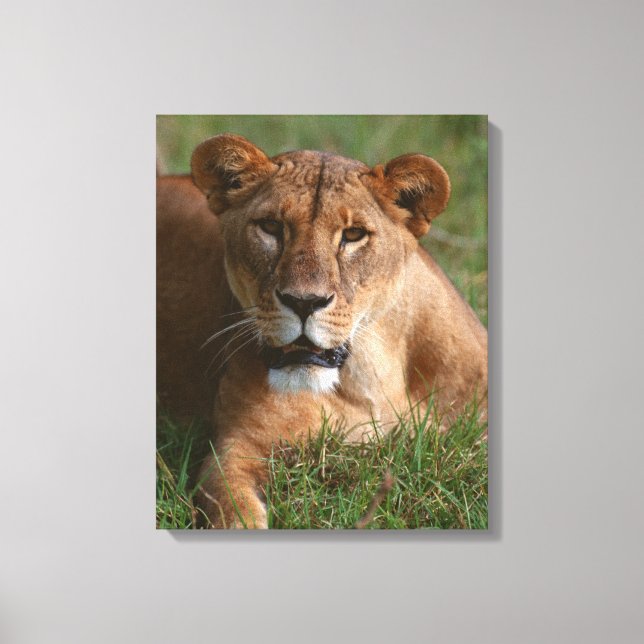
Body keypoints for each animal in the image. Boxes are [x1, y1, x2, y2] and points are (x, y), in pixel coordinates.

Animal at [157, 134, 487, 528]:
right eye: (270, 226)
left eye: (354, 234)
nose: (304, 302)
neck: (368, 380)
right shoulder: (233, 453)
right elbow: (239, 514)